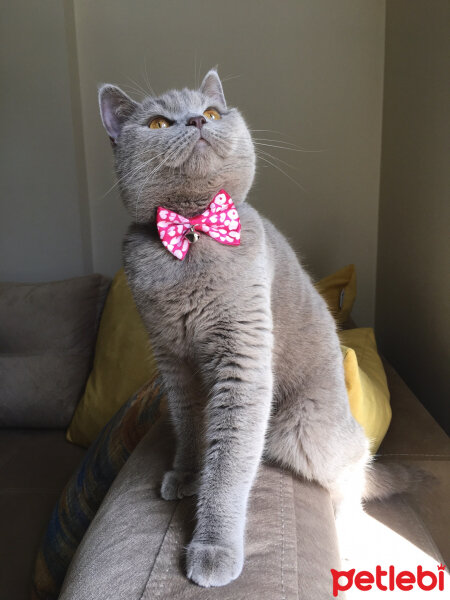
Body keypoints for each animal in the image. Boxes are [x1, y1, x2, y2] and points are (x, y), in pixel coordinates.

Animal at [100, 69, 414, 584]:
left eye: (210, 113)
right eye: (159, 122)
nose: (195, 121)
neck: (193, 232)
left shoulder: (242, 360)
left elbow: (229, 462)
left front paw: (213, 549)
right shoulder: (173, 362)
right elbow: (190, 425)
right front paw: (187, 474)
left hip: (303, 430)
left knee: (354, 469)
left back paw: (348, 537)